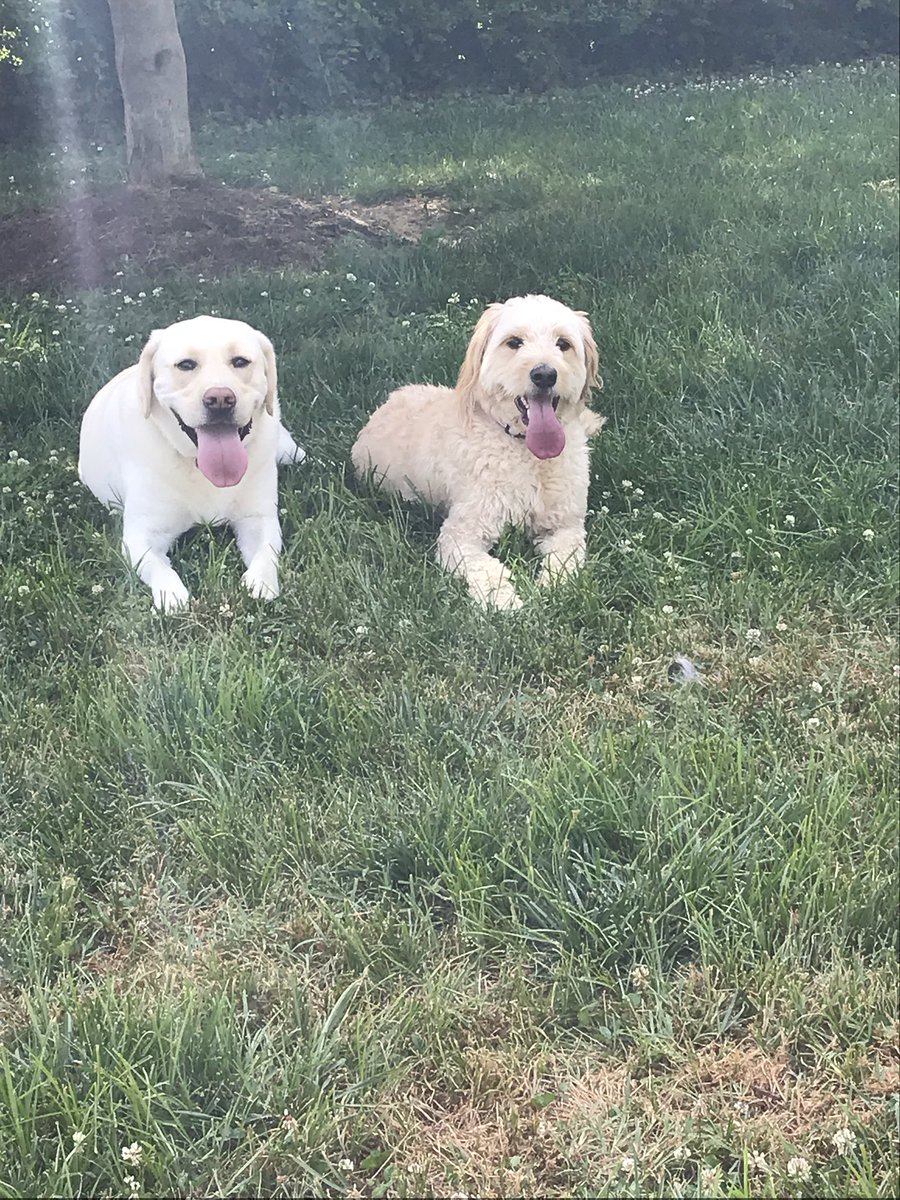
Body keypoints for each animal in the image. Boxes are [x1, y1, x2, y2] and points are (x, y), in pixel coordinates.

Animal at [78, 314, 303, 609]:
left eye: (240, 361)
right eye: (186, 364)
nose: (220, 399)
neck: (199, 467)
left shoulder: (258, 517)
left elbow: (265, 552)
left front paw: (261, 583)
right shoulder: (141, 533)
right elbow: (157, 566)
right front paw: (171, 596)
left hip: (288, 452)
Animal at [352, 291, 607, 609]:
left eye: (563, 344)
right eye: (514, 342)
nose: (545, 374)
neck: (526, 450)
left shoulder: (566, 526)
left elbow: (565, 559)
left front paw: (554, 587)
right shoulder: (461, 534)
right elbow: (485, 568)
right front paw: (505, 601)